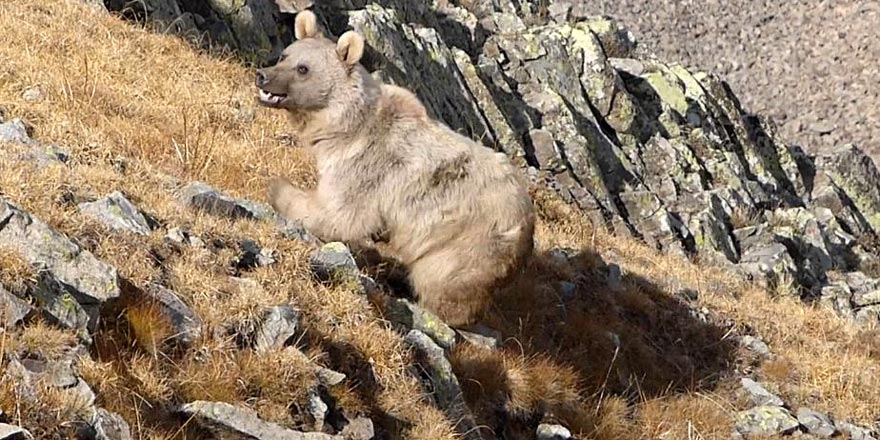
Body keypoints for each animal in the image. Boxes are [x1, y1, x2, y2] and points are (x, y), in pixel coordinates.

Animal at [254, 10, 536, 326]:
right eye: (285, 55)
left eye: (303, 68)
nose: (263, 75)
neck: (345, 125)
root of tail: (528, 225)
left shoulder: (366, 165)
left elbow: (340, 214)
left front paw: (277, 187)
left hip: (468, 241)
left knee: (443, 279)